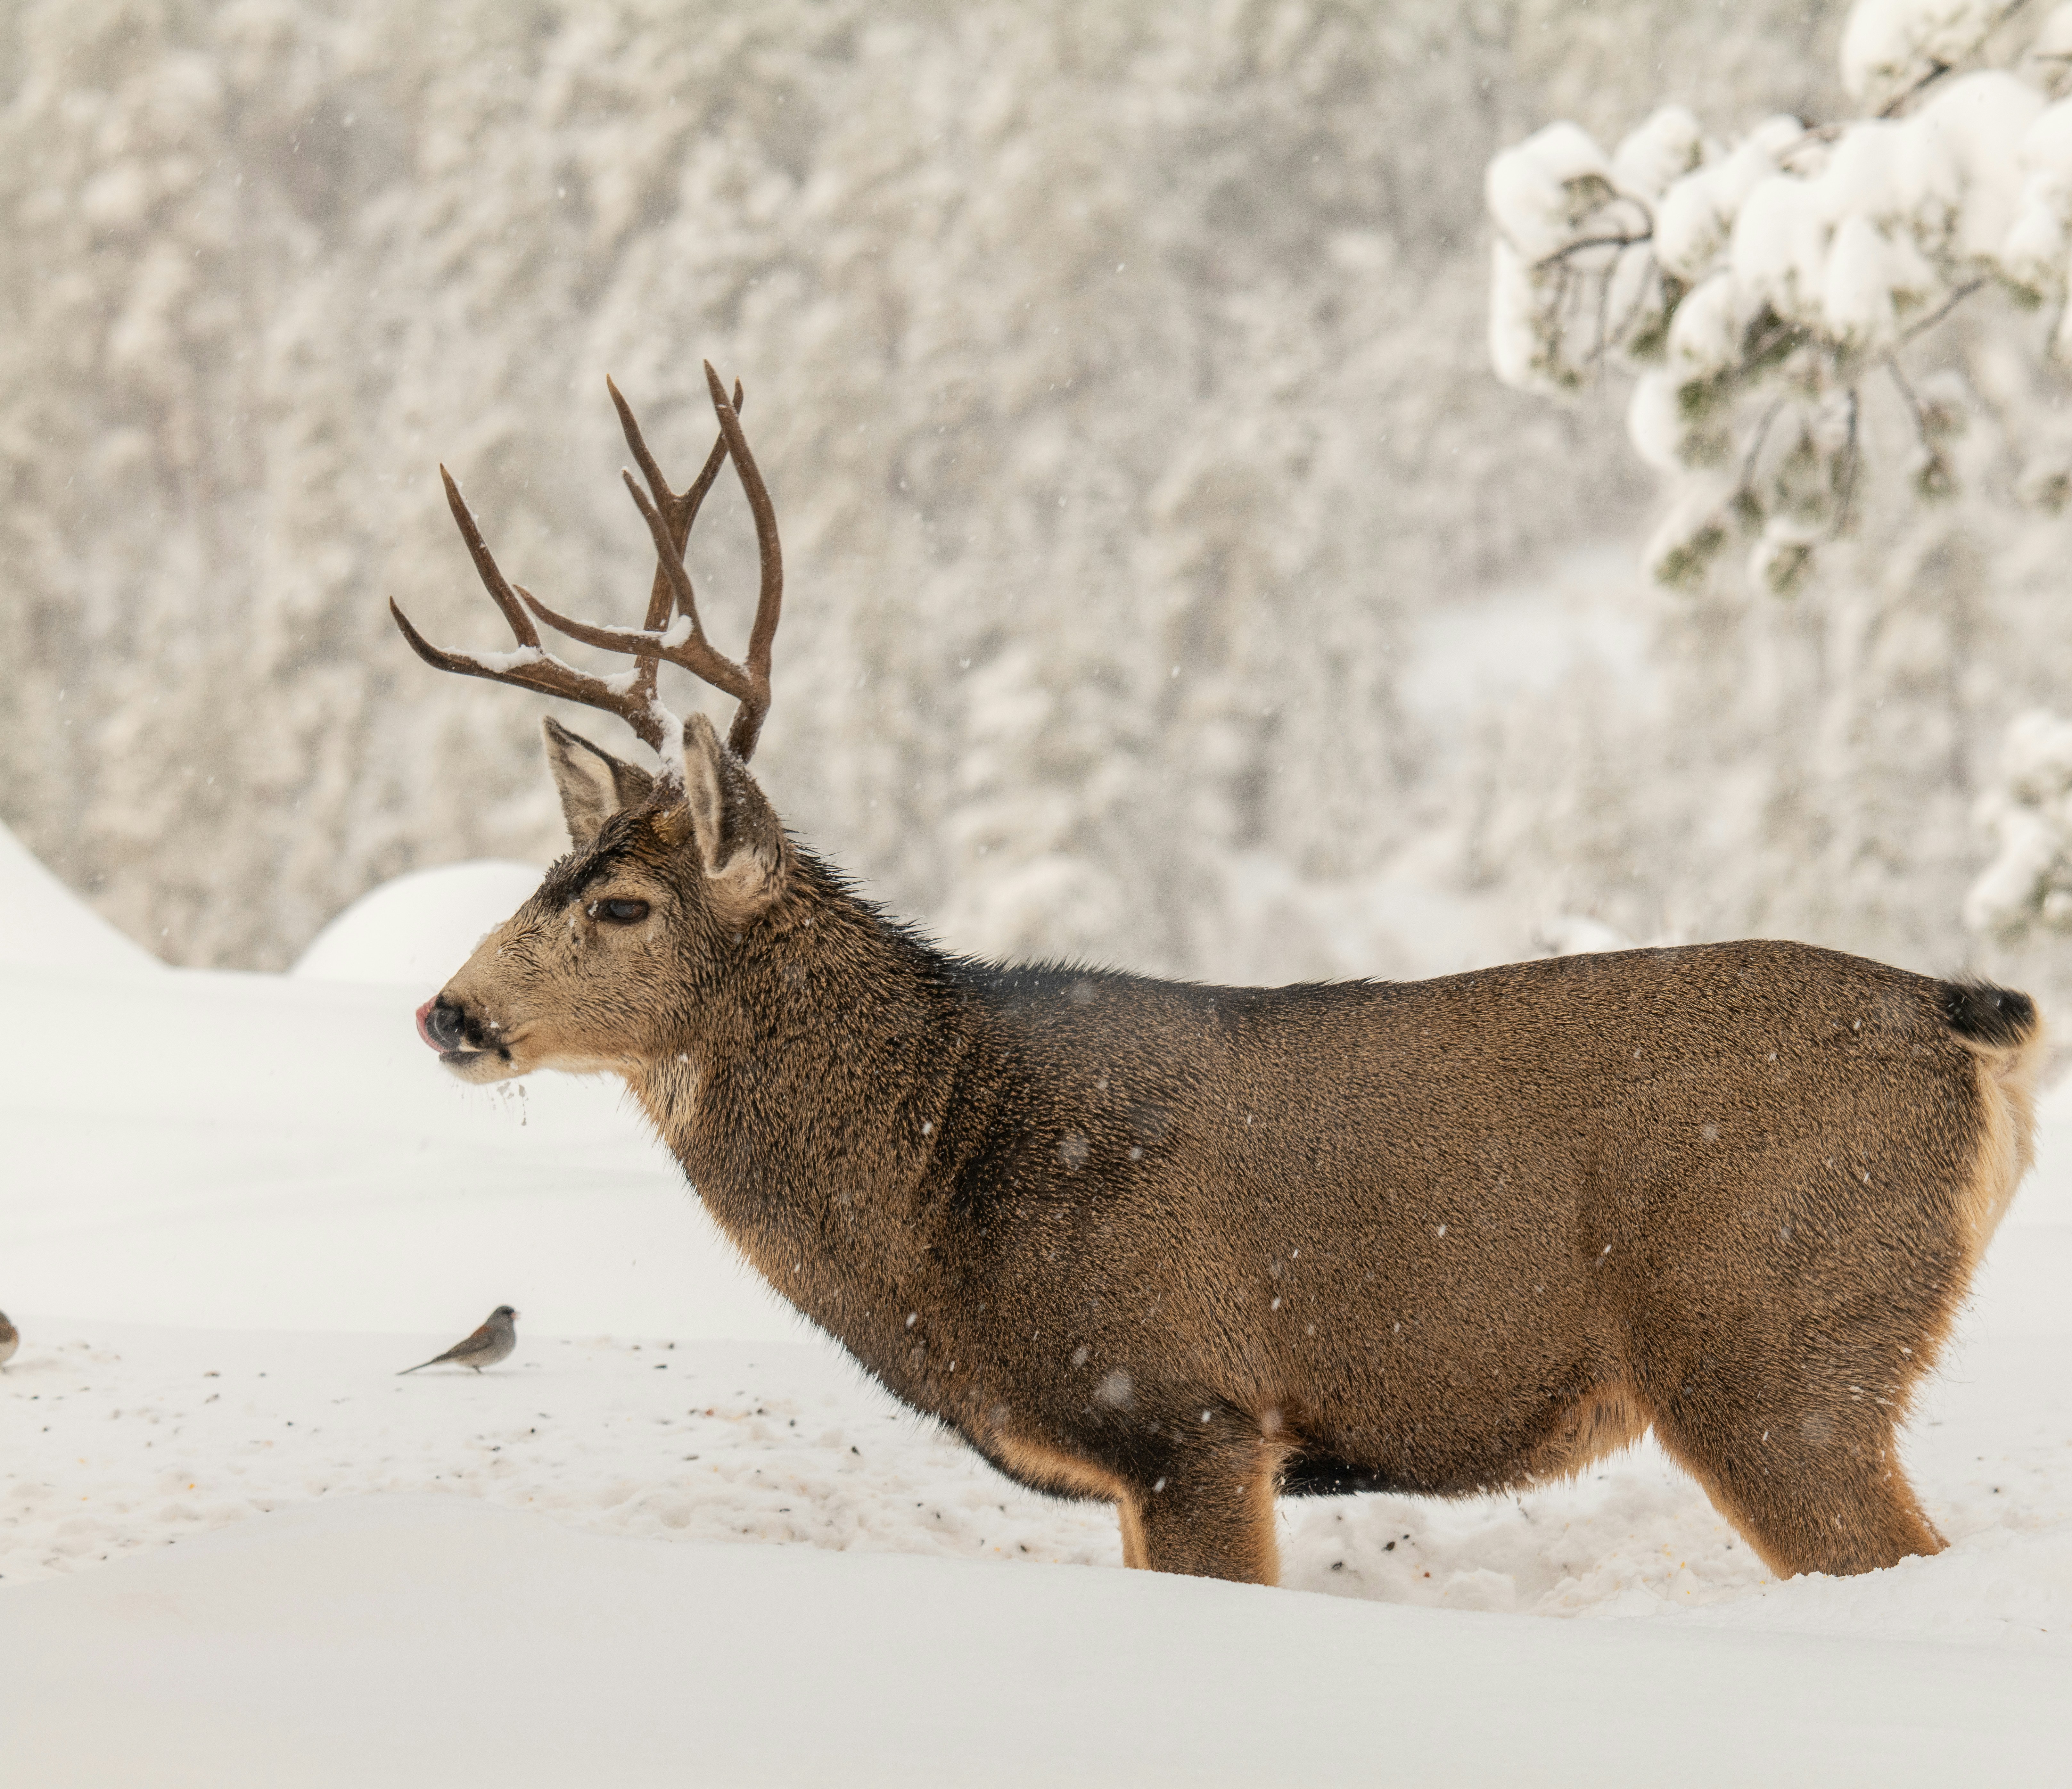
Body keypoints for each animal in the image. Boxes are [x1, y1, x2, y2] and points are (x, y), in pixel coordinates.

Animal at [393, 364, 2043, 1587]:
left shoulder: (1184, 1405)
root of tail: (1974, 1020)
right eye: (545, 876)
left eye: (621, 902)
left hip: (1778, 1343)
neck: (939, 1173)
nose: (449, 1010)